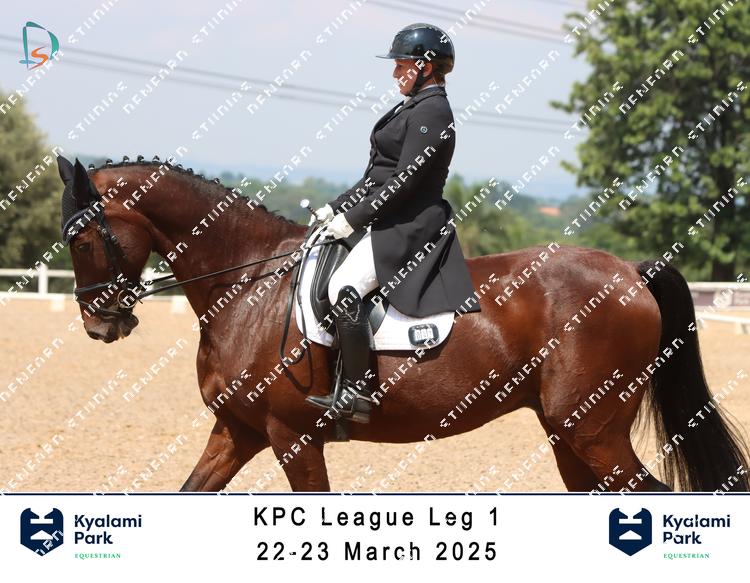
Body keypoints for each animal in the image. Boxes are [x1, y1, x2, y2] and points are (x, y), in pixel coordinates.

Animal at [57, 156, 750, 493]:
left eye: (83, 239)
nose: (99, 326)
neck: (248, 289)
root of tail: (630, 272)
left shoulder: (292, 436)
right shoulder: (239, 430)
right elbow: (189, 491)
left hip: (593, 432)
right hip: (569, 435)